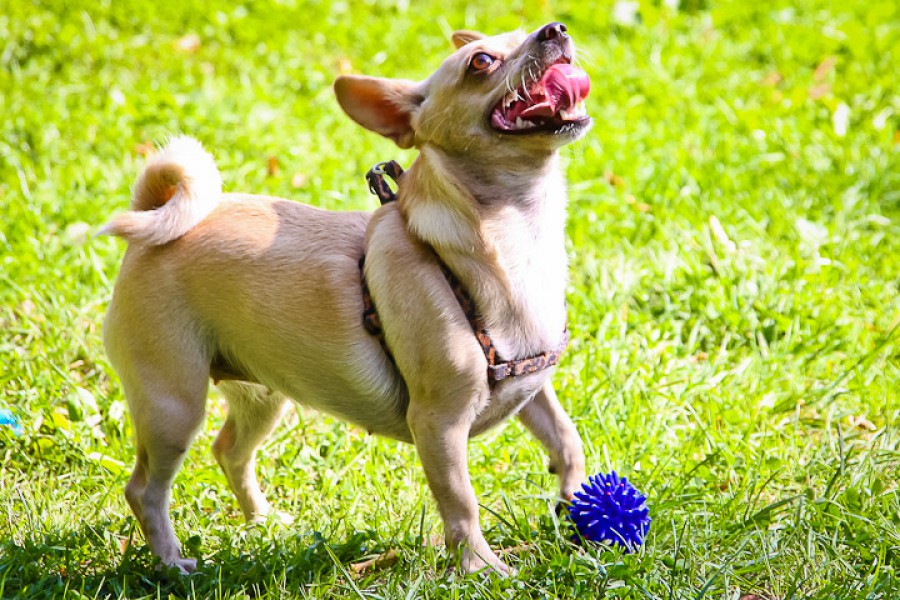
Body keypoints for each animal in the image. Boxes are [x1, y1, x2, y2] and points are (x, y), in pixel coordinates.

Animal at [102, 21, 592, 576]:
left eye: (524, 29)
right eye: (481, 62)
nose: (554, 29)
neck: (515, 236)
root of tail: (151, 224)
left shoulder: (533, 386)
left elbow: (566, 439)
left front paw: (574, 501)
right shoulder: (438, 425)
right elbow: (460, 501)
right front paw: (479, 568)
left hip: (262, 395)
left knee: (229, 451)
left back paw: (263, 522)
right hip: (174, 407)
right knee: (146, 489)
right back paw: (171, 563)